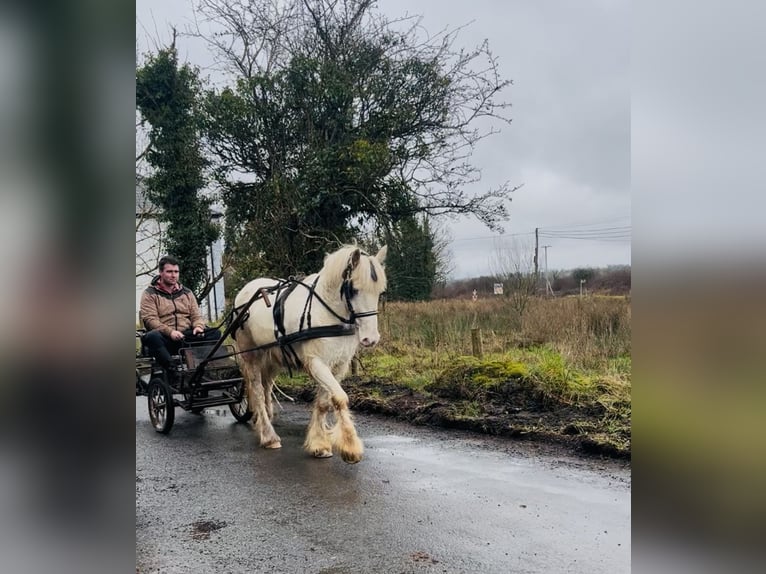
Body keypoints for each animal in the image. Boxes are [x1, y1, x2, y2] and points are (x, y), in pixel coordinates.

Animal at [232, 245, 387, 464]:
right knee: (257, 390)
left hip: (272, 357)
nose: (371, 339)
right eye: (354, 290)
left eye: (380, 292)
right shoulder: (316, 363)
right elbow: (340, 398)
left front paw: (319, 444)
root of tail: (246, 289)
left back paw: (266, 419)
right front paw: (350, 446)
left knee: (267, 385)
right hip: (251, 355)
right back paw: (269, 436)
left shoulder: (338, 365)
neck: (328, 312)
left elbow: (324, 403)